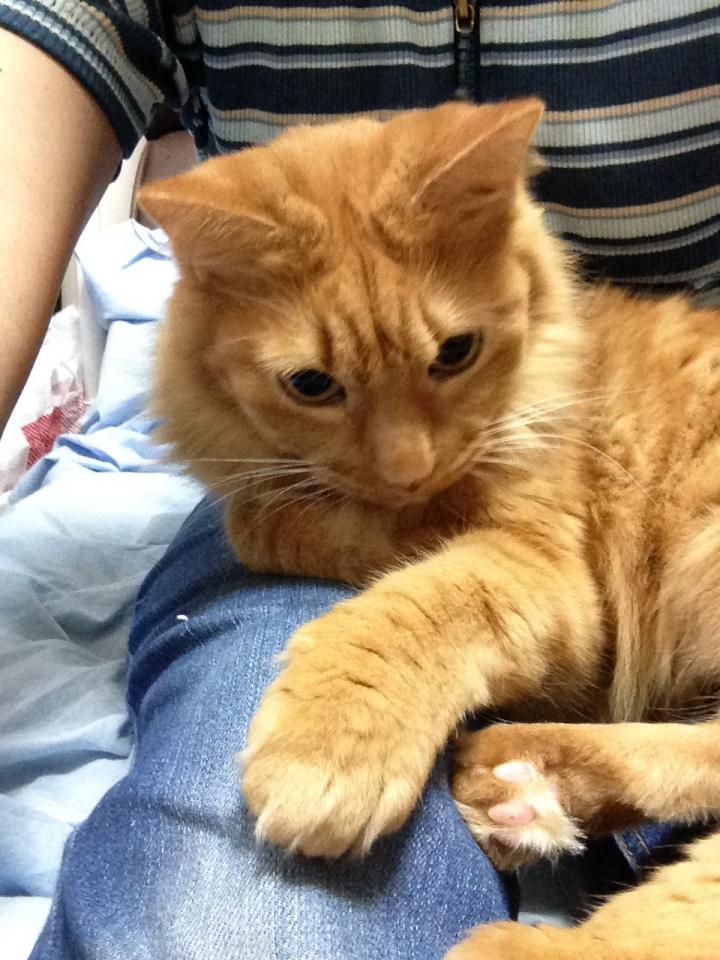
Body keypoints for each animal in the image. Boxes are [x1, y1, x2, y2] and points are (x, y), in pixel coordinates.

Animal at [139, 98, 720, 960]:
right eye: (311, 385)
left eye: (456, 352)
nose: (409, 468)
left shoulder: (551, 576)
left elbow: (411, 600)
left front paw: (333, 741)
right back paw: (523, 783)